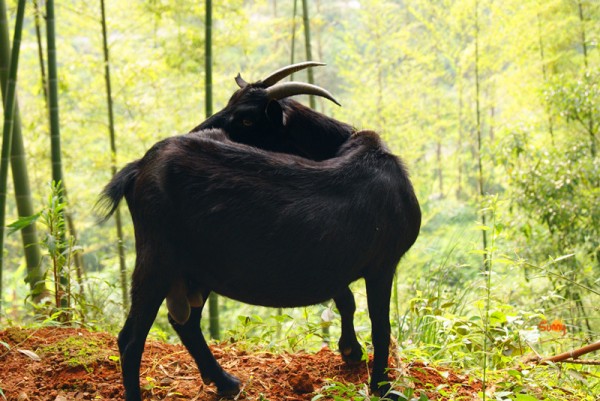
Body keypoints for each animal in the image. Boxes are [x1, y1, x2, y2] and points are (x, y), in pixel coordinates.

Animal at [101, 126, 422, 398]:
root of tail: (139, 168)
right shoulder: (383, 263)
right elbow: (380, 327)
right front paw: (382, 387)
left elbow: (346, 302)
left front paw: (351, 352)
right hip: (158, 258)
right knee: (130, 340)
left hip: (197, 268)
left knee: (186, 322)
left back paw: (226, 382)